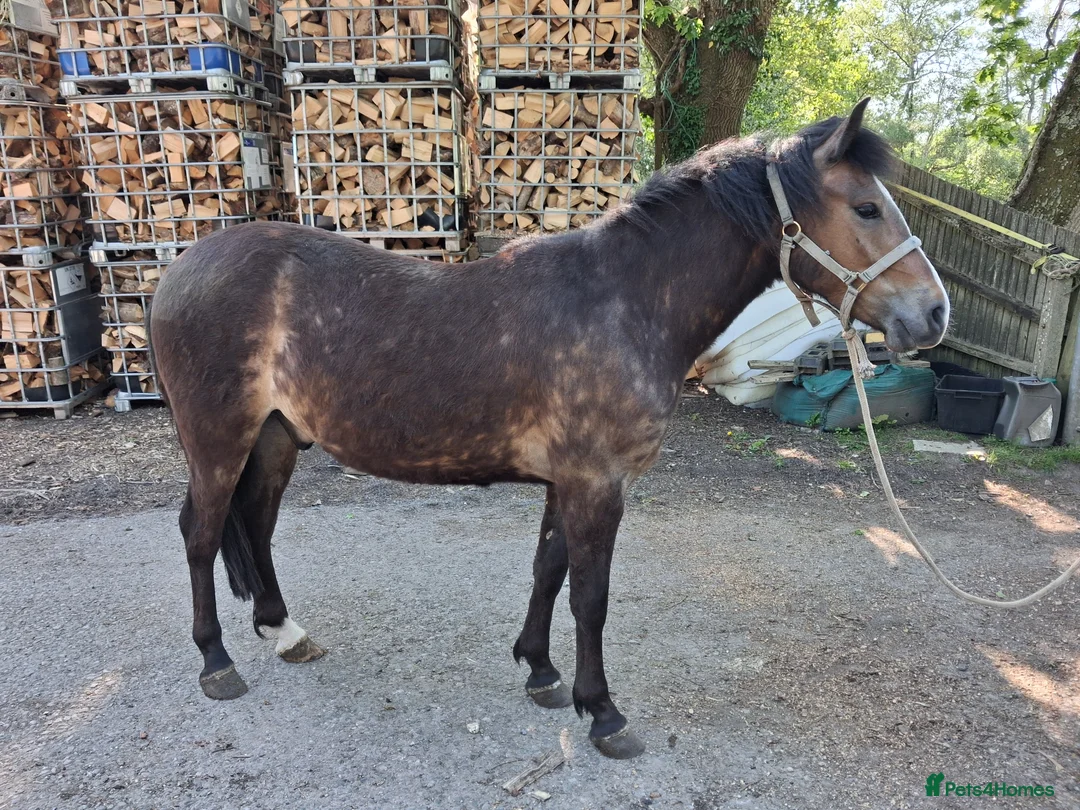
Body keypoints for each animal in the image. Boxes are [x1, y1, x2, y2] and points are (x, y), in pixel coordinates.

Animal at [149, 98, 949, 759]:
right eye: (867, 207)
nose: (934, 314)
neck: (625, 301)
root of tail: (181, 270)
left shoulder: (569, 480)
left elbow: (548, 570)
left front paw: (540, 671)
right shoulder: (598, 483)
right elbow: (590, 597)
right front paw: (605, 714)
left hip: (276, 437)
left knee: (254, 524)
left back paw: (284, 631)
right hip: (218, 440)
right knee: (200, 533)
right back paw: (216, 662)